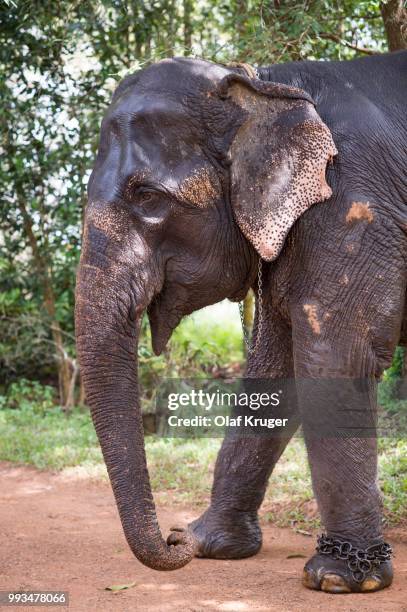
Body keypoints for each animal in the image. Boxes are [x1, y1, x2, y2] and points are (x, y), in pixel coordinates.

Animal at [75, 50, 406, 596]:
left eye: (147, 196)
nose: (173, 537)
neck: (261, 86)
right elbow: (274, 367)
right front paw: (210, 544)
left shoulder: (357, 205)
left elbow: (335, 358)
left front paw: (340, 580)